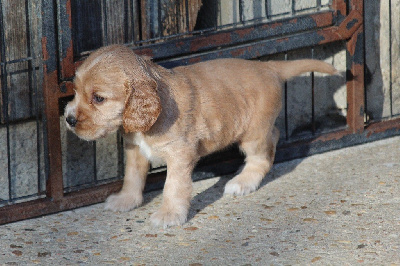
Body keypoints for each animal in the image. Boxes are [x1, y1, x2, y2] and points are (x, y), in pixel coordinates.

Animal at [64, 44, 336, 228]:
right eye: (75, 91)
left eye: (98, 98)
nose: (69, 119)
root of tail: (269, 66)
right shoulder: (135, 150)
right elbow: (132, 176)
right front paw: (126, 200)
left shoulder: (180, 154)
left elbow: (173, 186)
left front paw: (169, 214)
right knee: (275, 134)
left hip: (253, 133)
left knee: (263, 157)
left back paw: (243, 182)